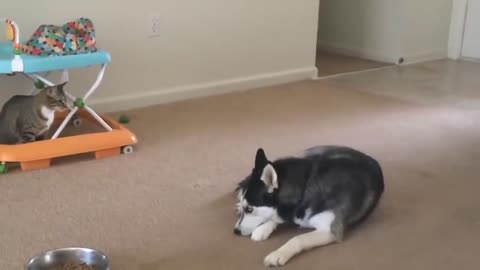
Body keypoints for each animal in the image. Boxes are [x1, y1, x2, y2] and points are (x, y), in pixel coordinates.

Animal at [234, 146, 384, 266]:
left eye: (249, 209)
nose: (235, 231)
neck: (304, 188)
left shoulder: (330, 230)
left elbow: (297, 238)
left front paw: (278, 254)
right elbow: (276, 217)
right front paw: (263, 228)